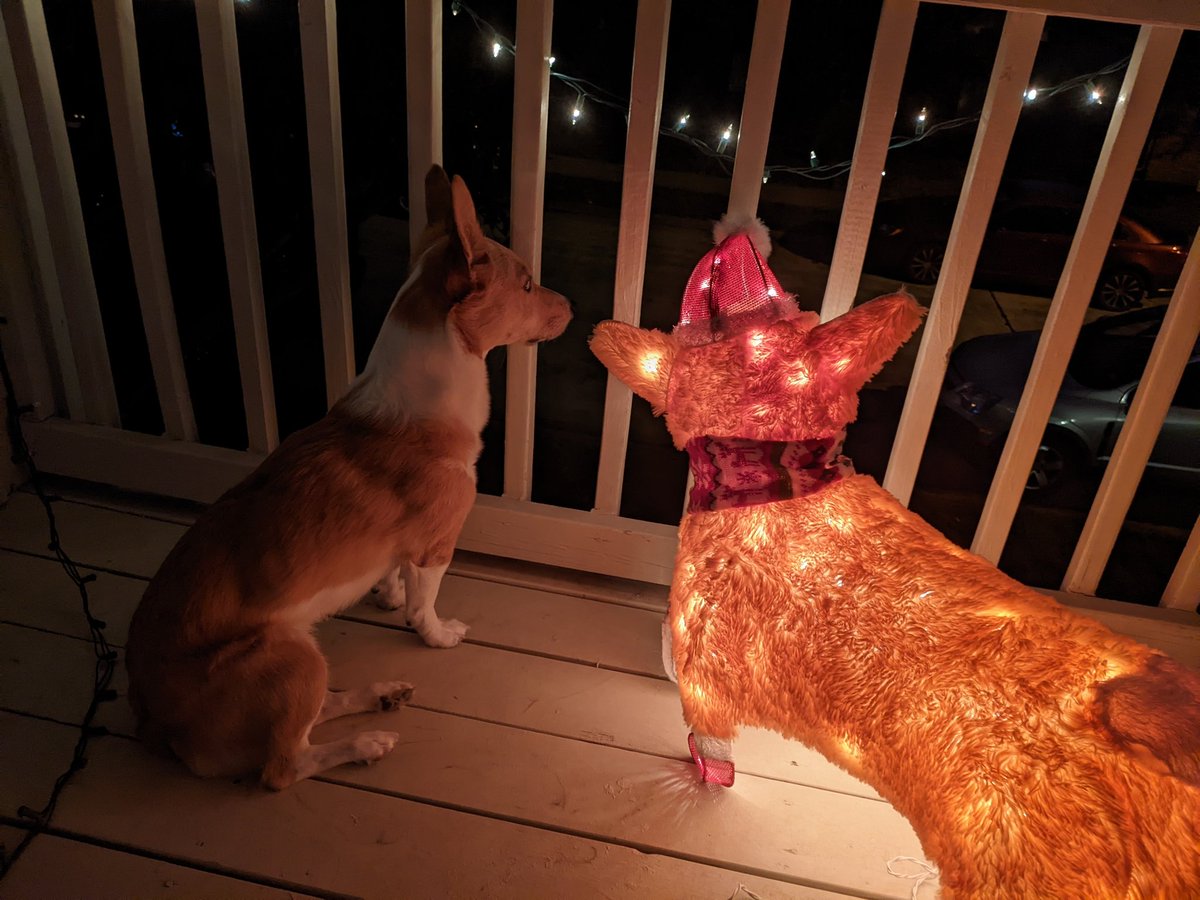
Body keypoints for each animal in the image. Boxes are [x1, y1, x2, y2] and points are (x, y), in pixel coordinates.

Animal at [125, 168, 571, 787]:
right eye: (528, 285)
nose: (573, 308)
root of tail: (148, 716)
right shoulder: (438, 545)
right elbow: (424, 606)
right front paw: (437, 634)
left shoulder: (406, 548)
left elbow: (396, 576)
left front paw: (386, 593)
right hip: (293, 661)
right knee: (285, 763)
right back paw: (365, 742)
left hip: (305, 658)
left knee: (318, 711)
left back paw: (376, 696)